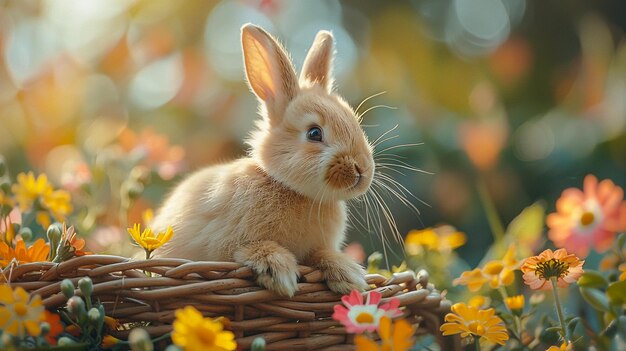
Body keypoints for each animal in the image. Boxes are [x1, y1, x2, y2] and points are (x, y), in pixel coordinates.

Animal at [151, 23, 372, 298]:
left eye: (355, 123)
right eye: (314, 133)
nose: (361, 170)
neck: (294, 190)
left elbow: (321, 254)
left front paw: (349, 276)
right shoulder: (220, 247)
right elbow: (246, 248)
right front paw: (278, 271)